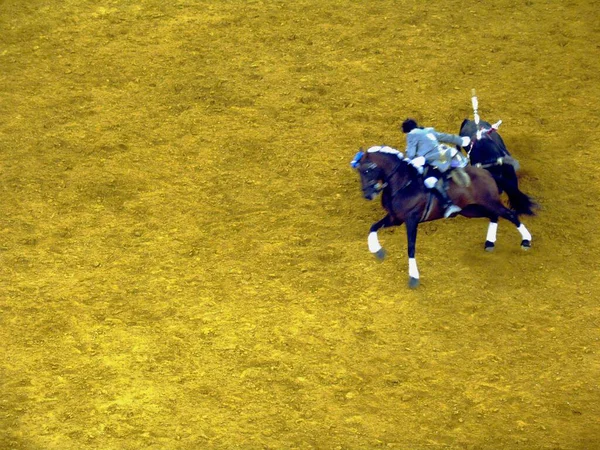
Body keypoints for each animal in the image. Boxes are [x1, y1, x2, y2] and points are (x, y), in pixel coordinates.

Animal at [352, 146, 536, 290]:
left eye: (367, 170)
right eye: (359, 171)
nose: (368, 194)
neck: (403, 184)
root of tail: (487, 173)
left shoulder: (411, 220)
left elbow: (411, 248)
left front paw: (414, 277)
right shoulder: (395, 218)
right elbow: (373, 227)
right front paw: (377, 250)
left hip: (489, 202)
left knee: (510, 214)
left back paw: (526, 240)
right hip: (471, 210)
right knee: (494, 216)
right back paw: (490, 243)